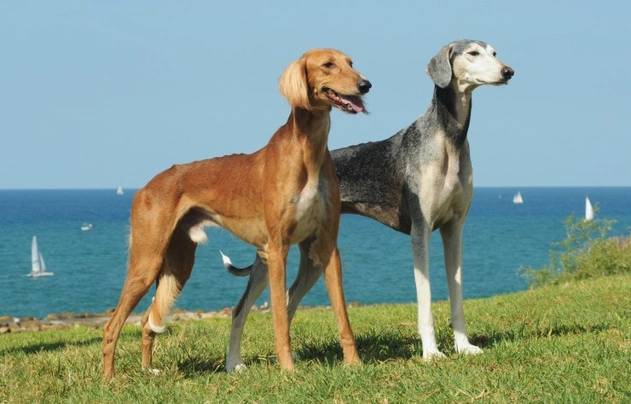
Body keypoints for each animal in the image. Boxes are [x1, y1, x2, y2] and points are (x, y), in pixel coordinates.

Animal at [101, 49, 372, 378]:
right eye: (328, 64)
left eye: (351, 63)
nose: (365, 85)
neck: (307, 151)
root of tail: (146, 187)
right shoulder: (278, 249)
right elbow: (280, 319)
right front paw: (288, 370)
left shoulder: (327, 246)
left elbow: (343, 316)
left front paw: (354, 364)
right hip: (147, 262)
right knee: (111, 326)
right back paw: (109, 379)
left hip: (181, 266)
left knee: (148, 320)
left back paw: (149, 370)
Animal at [222, 39, 512, 370]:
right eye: (472, 53)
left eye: (494, 52)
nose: (508, 71)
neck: (448, 139)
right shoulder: (421, 232)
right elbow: (425, 300)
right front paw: (431, 352)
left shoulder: (454, 229)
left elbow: (458, 295)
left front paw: (464, 347)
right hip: (270, 254)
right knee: (241, 309)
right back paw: (234, 364)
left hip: (314, 255)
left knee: (288, 301)